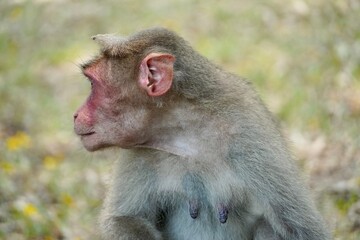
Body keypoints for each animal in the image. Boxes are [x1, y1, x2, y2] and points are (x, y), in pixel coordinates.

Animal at [74, 27, 332, 239]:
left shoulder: (248, 131)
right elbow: (123, 219)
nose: (76, 115)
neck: (186, 129)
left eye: (93, 85)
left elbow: (302, 228)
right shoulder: (140, 150)